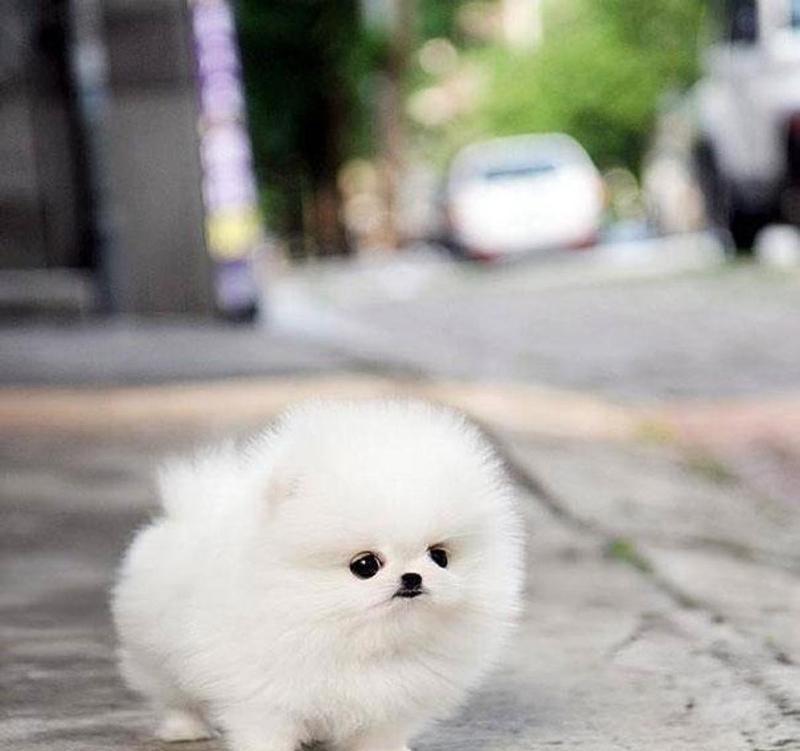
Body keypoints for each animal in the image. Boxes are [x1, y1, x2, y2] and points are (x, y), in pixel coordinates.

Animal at [112, 400, 524, 751]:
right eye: (365, 565)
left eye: (439, 556)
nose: (412, 577)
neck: (358, 643)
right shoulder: (264, 693)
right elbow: (266, 729)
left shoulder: (390, 700)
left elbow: (380, 732)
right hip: (155, 653)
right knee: (174, 695)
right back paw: (185, 729)